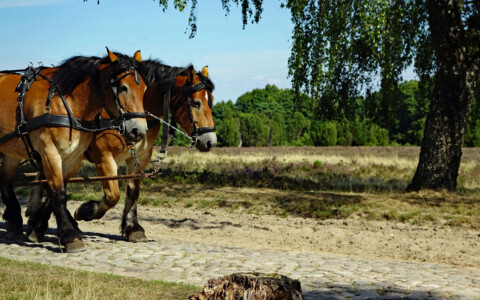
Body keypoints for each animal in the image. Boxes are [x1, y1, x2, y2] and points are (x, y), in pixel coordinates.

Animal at [0, 49, 148, 253]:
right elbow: (58, 192)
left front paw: (41, 227)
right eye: (124, 87)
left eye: (145, 90)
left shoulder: (73, 157)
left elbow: (56, 190)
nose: (138, 131)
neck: (69, 105)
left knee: (5, 179)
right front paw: (71, 235)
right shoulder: (50, 152)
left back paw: (14, 218)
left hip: (12, 149)